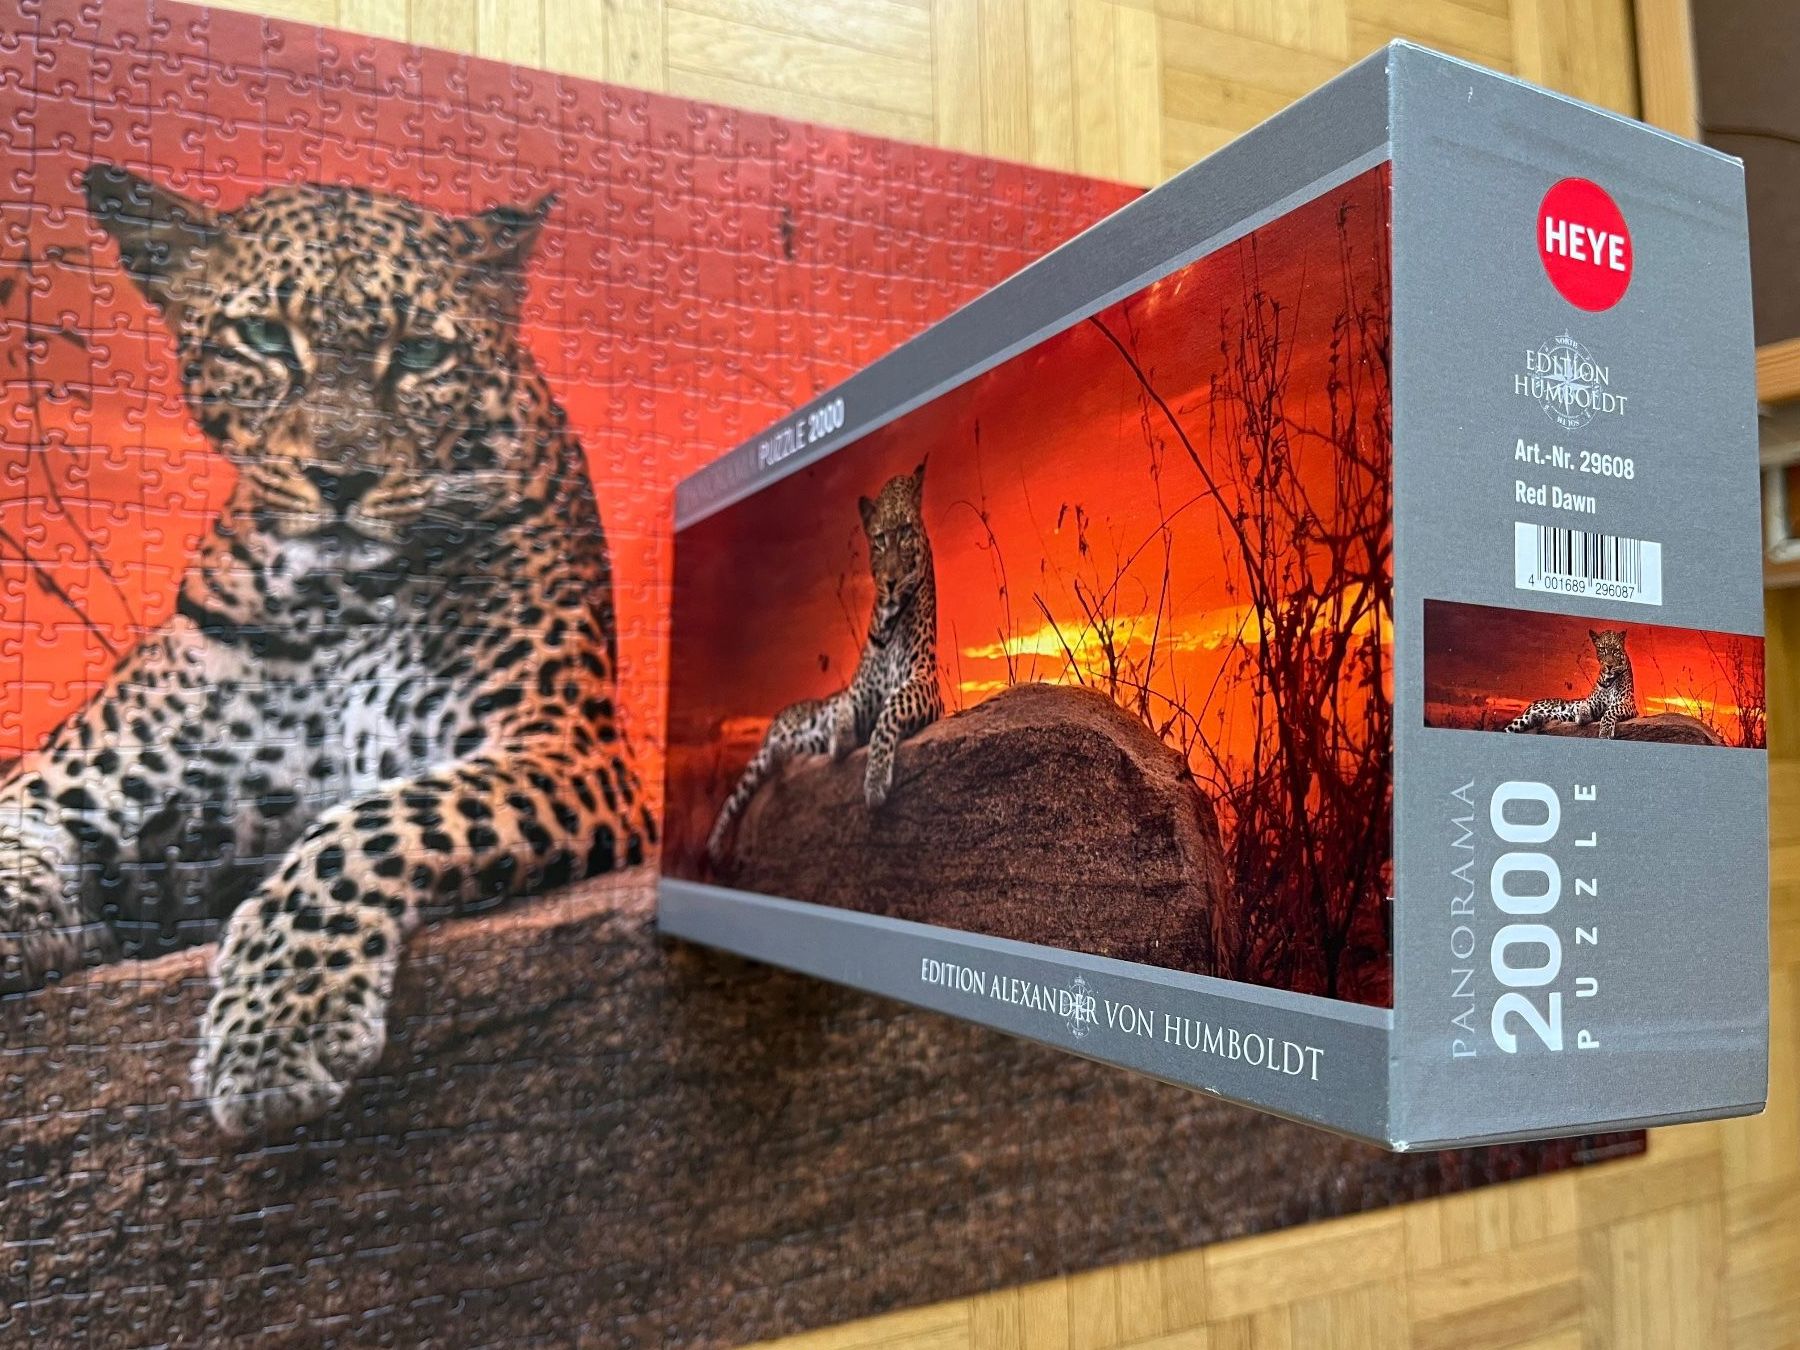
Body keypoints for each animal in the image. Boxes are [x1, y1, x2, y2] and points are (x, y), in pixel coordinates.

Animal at [0, 163, 654, 1137]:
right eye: (267, 338)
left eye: (419, 355)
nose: (341, 479)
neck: (332, 601)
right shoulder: (60, 792)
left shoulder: (564, 747)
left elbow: (371, 824)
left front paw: (277, 1030)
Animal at [706, 460, 941, 864]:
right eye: (879, 539)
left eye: (906, 531)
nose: (891, 582)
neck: (889, 621)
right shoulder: (857, 693)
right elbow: (846, 706)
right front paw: (840, 736)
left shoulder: (925, 681)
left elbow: (891, 708)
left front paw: (874, 781)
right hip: (762, 753)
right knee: (736, 797)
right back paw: (715, 845)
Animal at [1505, 627, 1638, 739]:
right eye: (1602, 650)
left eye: (1616, 650)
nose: (1609, 666)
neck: (1607, 680)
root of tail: (1532, 703)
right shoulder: (1590, 703)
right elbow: (1584, 706)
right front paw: (1583, 715)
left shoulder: (1627, 703)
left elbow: (1611, 710)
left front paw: (1605, 731)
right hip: (1533, 713)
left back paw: (1537, 718)